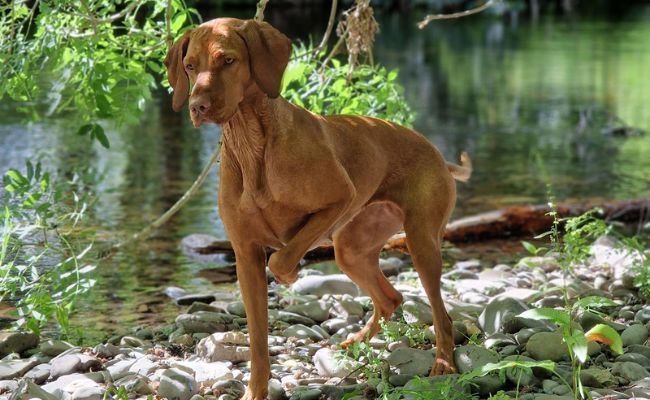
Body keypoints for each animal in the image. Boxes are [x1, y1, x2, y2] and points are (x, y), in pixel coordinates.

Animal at [166, 17, 470, 398]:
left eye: (228, 60)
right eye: (190, 66)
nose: (197, 106)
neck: (252, 144)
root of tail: (437, 153)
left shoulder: (339, 199)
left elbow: (281, 259)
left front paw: (291, 274)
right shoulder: (245, 256)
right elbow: (257, 340)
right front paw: (255, 390)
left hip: (421, 242)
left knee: (442, 316)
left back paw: (443, 364)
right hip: (350, 249)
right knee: (391, 298)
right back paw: (356, 342)